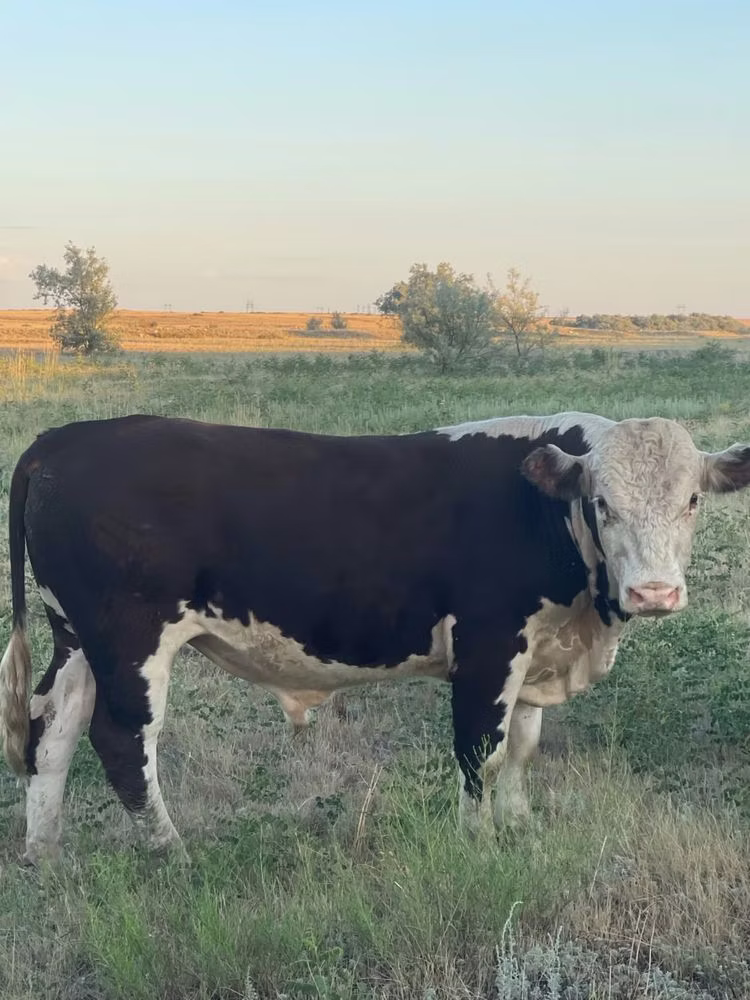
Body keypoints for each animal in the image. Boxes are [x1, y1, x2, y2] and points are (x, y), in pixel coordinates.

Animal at [1, 412, 749, 865]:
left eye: (691, 501)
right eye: (602, 503)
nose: (654, 593)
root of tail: (64, 438)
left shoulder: (537, 651)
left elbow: (522, 749)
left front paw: (518, 827)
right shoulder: (488, 647)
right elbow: (481, 751)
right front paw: (478, 844)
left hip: (76, 638)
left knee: (51, 734)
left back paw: (46, 856)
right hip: (131, 637)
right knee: (123, 741)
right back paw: (172, 852)